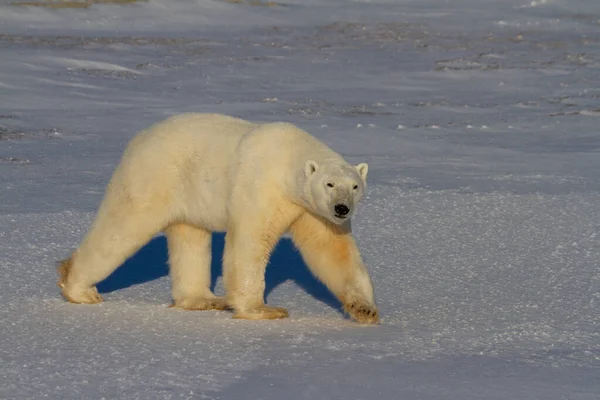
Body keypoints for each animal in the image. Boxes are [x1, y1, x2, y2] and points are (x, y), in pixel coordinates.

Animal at [58, 111, 378, 324]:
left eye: (354, 186)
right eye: (329, 184)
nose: (342, 208)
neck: (288, 158)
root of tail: (138, 139)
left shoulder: (312, 211)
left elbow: (333, 251)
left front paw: (365, 310)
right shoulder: (261, 187)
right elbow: (251, 241)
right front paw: (263, 310)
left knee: (190, 238)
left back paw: (204, 300)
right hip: (152, 178)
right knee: (122, 228)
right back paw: (80, 289)